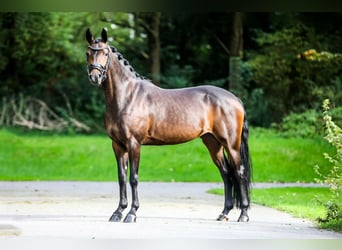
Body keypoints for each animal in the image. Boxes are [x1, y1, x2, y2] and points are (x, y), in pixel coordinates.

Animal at [85, 28, 251, 223]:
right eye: (88, 53)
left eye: (105, 53)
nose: (95, 77)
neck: (127, 96)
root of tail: (235, 99)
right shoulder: (118, 145)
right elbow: (121, 178)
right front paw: (118, 212)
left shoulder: (134, 144)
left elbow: (133, 178)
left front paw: (132, 213)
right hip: (212, 143)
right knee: (226, 174)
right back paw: (224, 213)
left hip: (231, 144)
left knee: (239, 172)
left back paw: (244, 214)